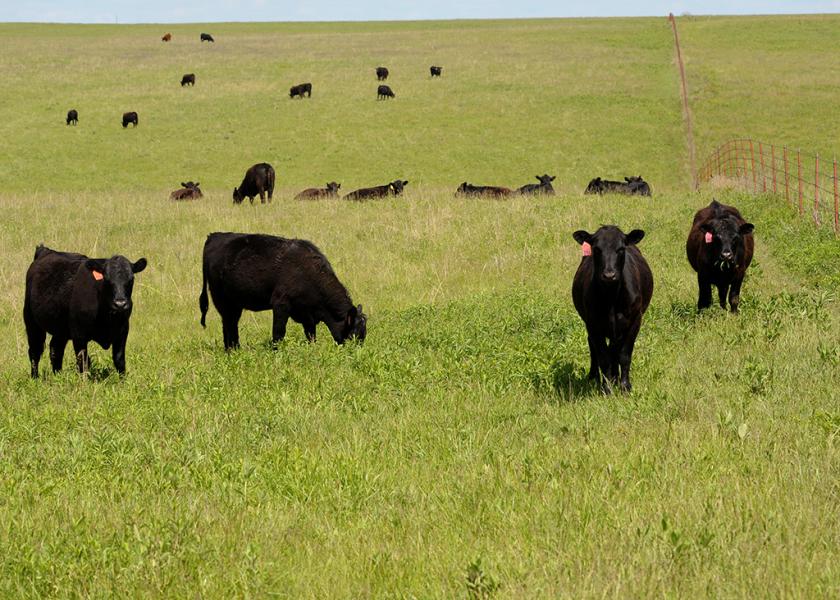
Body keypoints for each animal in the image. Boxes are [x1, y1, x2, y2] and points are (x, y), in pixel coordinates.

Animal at [24, 244, 148, 376]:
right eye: (106, 279)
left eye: (131, 279)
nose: (120, 304)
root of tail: (45, 250)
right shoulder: (79, 335)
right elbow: (83, 362)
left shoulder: (122, 331)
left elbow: (119, 360)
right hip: (31, 321)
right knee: (35, 351)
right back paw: (35, 377)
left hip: (61, 328)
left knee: (55, 350)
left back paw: (58, 375)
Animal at [200, 232, 368, 350]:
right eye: (353, 334)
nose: (356, 352)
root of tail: (213, 236)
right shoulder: (281, 304)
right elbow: (278, 332)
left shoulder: (307, 314)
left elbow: (311, 334)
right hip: (223, 301)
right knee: (229, 324)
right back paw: (233, 350)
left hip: (235, 304)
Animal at [572, 225, 656, 394]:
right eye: (597, 249)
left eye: (621, 249)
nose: (609, 275)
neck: (611, 298)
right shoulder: (593, 323)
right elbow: (603, 357)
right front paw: (607, 388)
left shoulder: (635, 321)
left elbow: (624, 355)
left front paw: (624, 386)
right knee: (594, 347)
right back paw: (594, 376)